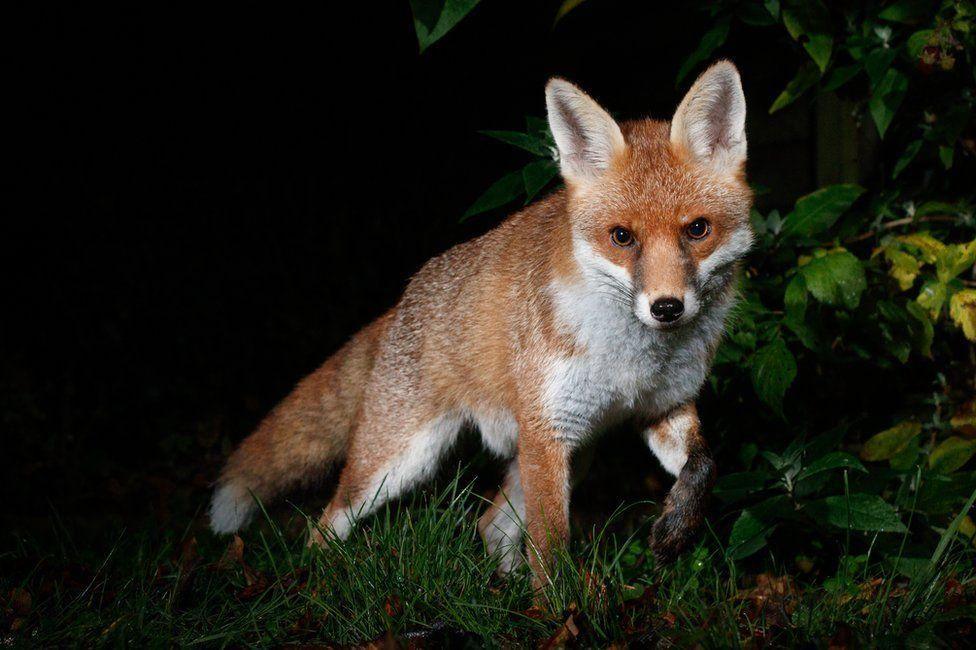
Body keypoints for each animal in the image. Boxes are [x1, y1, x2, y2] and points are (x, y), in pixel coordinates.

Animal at [208, 60, 756, 584]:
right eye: (622, 236)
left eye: (698, 229)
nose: (666, 307)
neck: (632, 360)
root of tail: (404, 297)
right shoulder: (548, 431)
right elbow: (551, 550)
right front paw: (562, 608)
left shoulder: (661, 408)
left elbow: (705, 467)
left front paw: (675, 529)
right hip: (399, 462)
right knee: (328, 520)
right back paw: (322, 580)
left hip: (574, 451)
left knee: (489, 524)